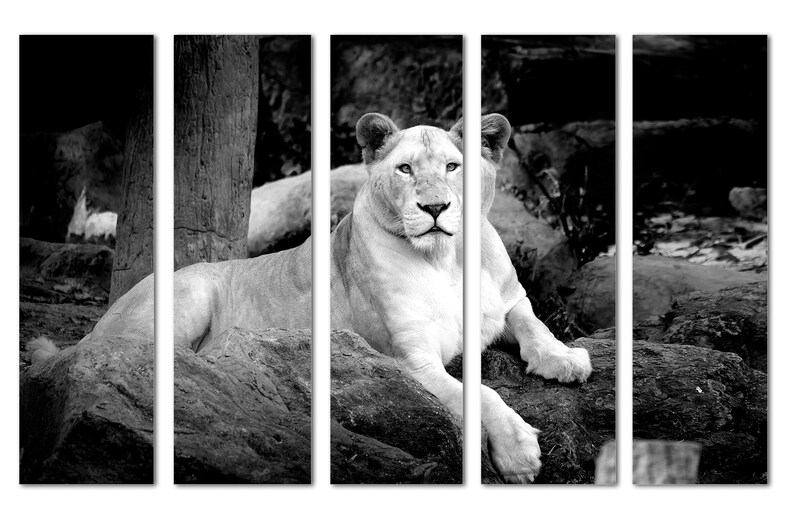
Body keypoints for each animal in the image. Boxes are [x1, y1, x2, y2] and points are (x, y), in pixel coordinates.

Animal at [31, 113, 591, 483]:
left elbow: (536, 324)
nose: (435, 208)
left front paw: (566, 359)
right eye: (406, 170)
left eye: (454, 167)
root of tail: (94, 325)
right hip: (189, 288)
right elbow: (480, 394)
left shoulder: (512, 299)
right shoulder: (409, 360)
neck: (446, 260)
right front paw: (519, 452)